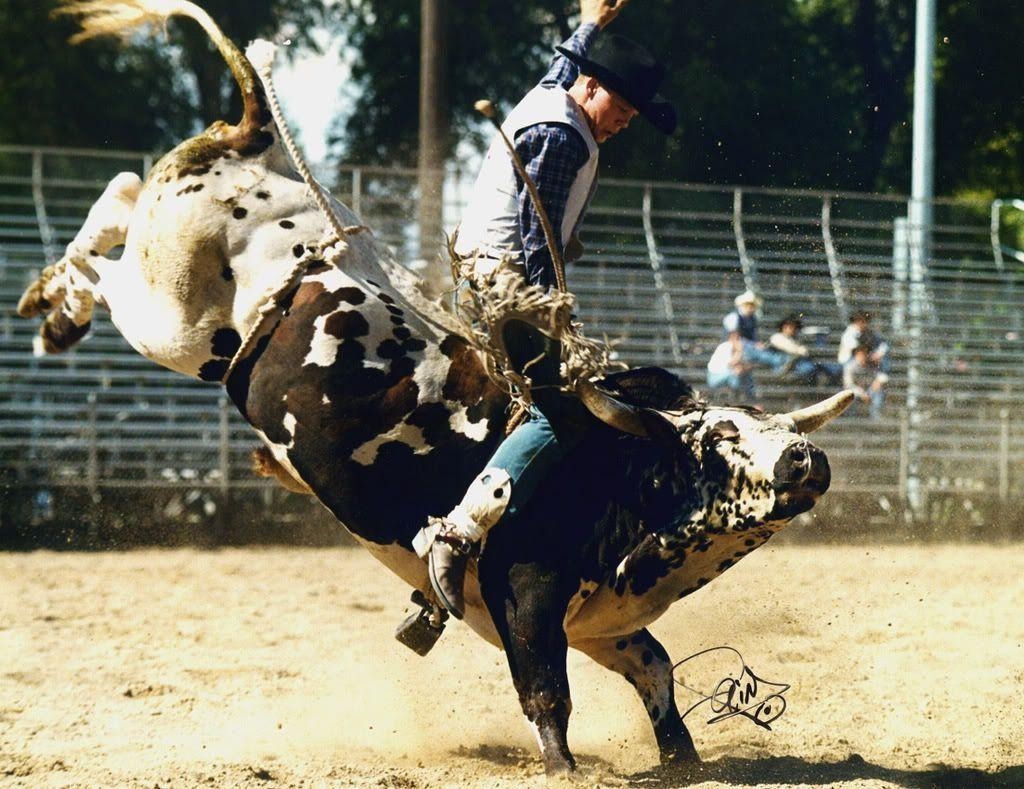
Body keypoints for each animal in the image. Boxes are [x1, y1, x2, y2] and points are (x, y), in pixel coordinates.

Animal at [18, 0, 856, 777]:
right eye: (723, 435)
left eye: (776, 424)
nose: (806, 460)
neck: (617, 472)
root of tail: (258, 148)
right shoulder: (529, 595)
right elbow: (546, 692)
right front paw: (564, 768)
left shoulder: (605, 622)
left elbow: (657, 672)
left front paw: (682, 757)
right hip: (172, 317)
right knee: (103, 254)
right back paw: (50, 308)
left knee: (124, 194)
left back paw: (54, 308)